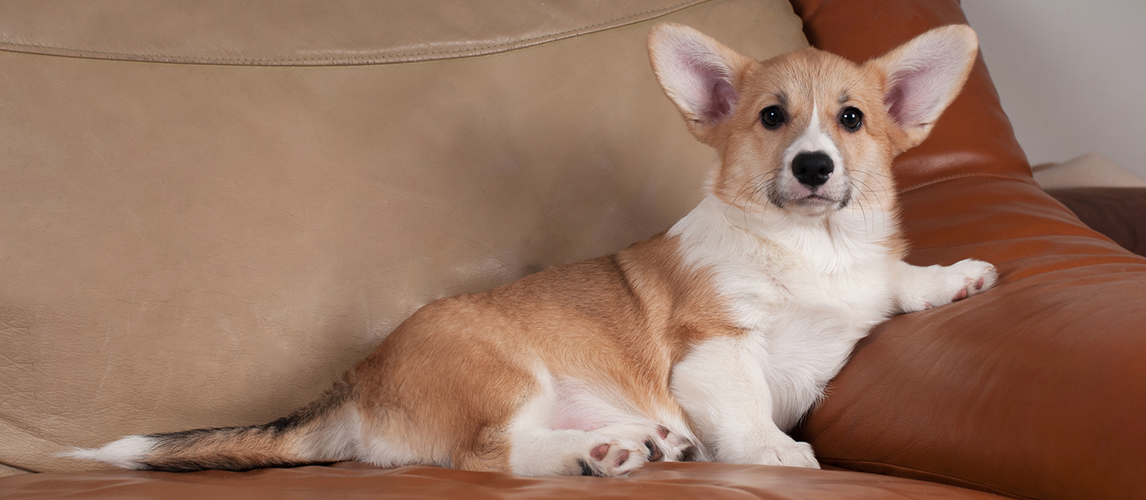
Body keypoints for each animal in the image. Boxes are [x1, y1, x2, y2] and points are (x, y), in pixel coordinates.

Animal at [67, 22, 994, 477]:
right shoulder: (713, 351)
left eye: (851, 120)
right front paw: (773, 453)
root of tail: (355, 388)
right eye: (772, 117)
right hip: (506, 376)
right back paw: (593, 455)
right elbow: (746, 411)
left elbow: (895, 281)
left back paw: (634, 446)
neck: (811, 249)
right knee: (489, 455)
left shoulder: (860, 285)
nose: (813, 167)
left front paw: (956, 277)